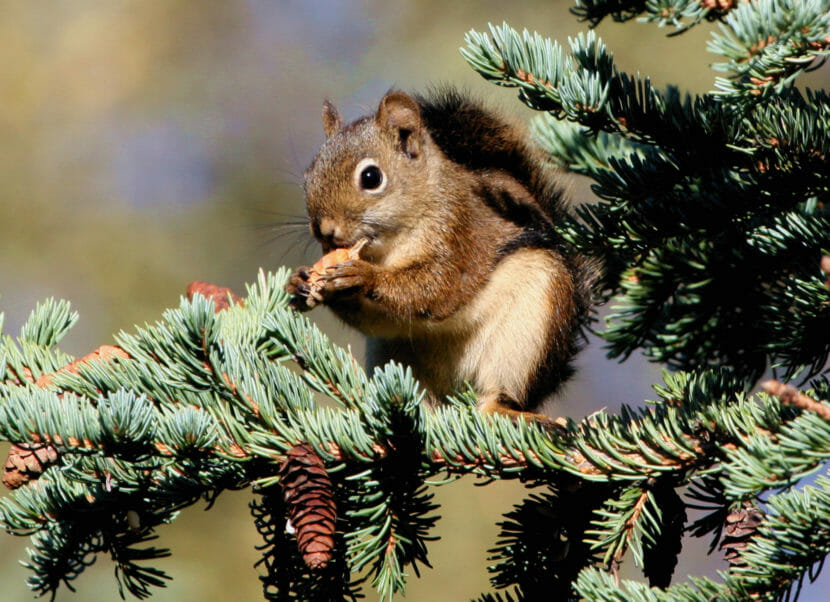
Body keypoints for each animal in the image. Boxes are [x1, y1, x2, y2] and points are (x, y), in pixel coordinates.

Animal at [286, 88, 593, 420]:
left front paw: (363, 276)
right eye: (309, 174)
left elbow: (437, 288)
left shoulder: (459, 234)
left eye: (370, 177)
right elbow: (377, 319)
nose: (324, 230)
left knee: (499, 397)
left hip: (530, 330)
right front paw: (299, 282)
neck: (389, 249)